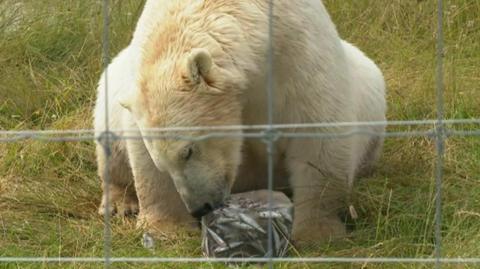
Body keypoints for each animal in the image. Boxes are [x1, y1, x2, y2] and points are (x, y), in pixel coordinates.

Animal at [94, 0, 386, 242]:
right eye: (164, 162)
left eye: (188, 151)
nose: (200, 207)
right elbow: (142, 156)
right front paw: (167, 228)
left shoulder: (297, 54)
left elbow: (317, 134)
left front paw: (318, 232)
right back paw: (119, 203)